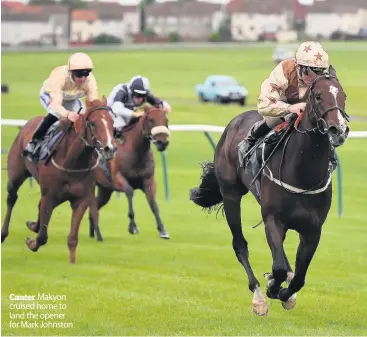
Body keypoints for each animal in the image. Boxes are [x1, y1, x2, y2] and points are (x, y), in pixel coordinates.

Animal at [1, 96, 116, 262]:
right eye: (93, 123)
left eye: (112, 122)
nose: (109, 149)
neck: (73, 162)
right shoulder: (50, 196)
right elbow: (42, 236)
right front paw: (31, 243)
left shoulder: (81, 199)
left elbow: (72, 239)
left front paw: (72, 263)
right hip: (16, 175)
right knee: (12, 198)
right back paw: (3, 233)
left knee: (38, 205)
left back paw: (32, 224)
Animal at [89, 105, 171, 239]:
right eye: (151, 120)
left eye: (166, 120)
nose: (162, 143)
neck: (136, 151)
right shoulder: (118, 179)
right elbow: (129, 192)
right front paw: (133, 227)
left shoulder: (148, 180)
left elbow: (153, 204)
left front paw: (162, 230)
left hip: (105, 190)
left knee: (95, 205)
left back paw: (93, 232)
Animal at [191, 69, 350, 316]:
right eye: (318, 97)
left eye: (343, 95)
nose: (339, 130)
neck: (302, 172)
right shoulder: (273, 219)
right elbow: (279, 268)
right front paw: (272, 288)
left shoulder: (313, 229)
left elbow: (298, 276)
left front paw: (286, 293)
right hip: (230, 195)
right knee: (240, 245)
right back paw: (258, 297)